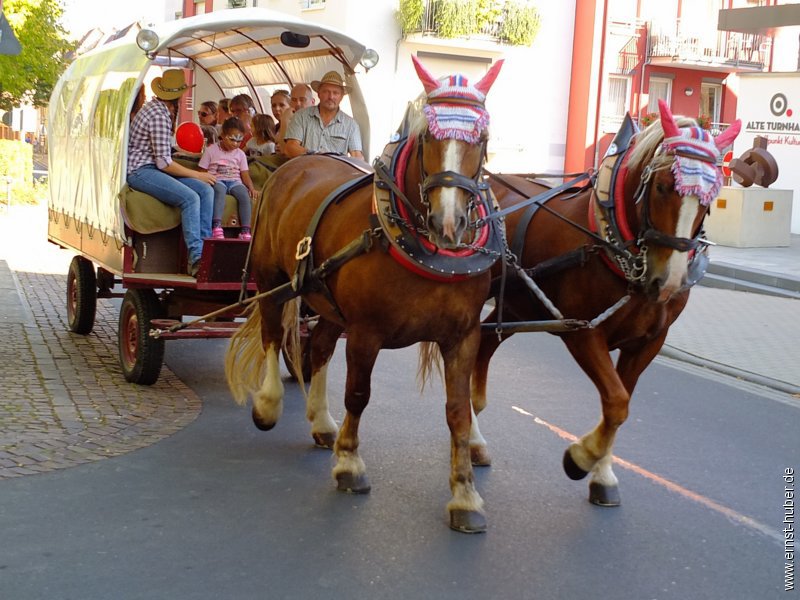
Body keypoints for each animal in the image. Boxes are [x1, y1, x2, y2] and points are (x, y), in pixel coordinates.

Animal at [222, 56, 504, 532]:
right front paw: (350, 464)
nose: (448, 224)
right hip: (271, 279)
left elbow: (459, 411)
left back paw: (321, 423)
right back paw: (268, 405)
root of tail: (295, 165)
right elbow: (358, 393)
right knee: (272, 334)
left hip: (327, 304)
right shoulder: (366, 332)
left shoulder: (462, 336)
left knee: (317, 348)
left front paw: (465, 495)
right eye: (428, 137)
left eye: (481, 139)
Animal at [468, 101, 744, 504]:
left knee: (486, 341)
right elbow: (616, 402)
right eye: (662, 186)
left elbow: (622, 403)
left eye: (710, 199)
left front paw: (602, 474)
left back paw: (474, 438)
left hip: (518, 304)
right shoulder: (582, 332)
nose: (668, 282)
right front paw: (580, 458)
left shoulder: (647, 343)